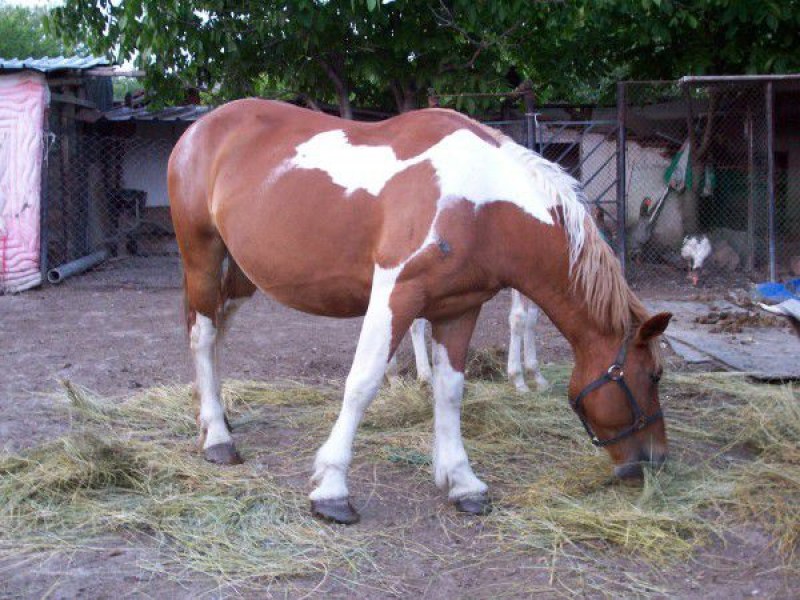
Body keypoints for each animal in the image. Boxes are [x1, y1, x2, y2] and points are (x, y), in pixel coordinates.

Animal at [170, 99, 676, 524]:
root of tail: (199, 129)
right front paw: (332, 488)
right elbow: (363, 383)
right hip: (202, 256)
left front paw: (461, 481)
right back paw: (218, 439)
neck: (482, 201)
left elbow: (450, 391)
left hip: (242, 275)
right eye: (652, 376)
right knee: (203, 336)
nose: (654, 461)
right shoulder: (395, 294)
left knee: (216, 335)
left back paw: (214, 419)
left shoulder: (460, 309)